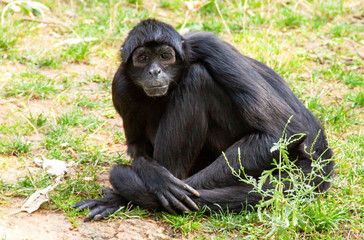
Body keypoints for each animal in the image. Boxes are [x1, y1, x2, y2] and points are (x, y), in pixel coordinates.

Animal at [72, 18, 336, 221]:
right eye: (143, 58)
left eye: (165, 56)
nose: (155, 71)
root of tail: (321, 156)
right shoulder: (120, 84)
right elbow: (137, 148)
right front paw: (154, 177)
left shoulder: (212, 46)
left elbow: (283, 132)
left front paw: (128, 193)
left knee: (198, 77)